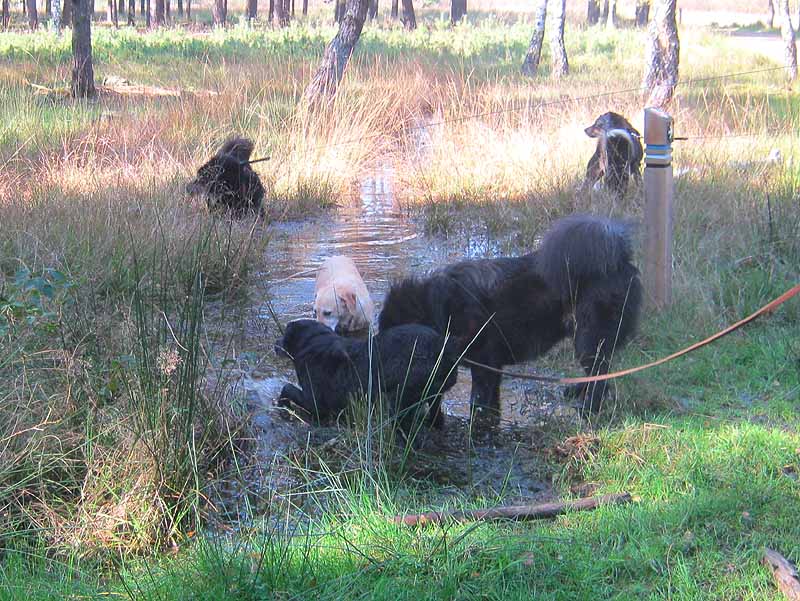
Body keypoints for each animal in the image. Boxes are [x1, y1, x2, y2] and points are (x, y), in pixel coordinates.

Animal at [276, 318, 460, 432]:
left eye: (284, 335)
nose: (275, 343)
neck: (312, 342)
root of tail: (440, 347)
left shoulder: (314, 402)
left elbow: (287, 388)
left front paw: (282, 404)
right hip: (434, 392)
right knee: (436, 412)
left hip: (399, 394)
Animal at [376, 214, 644, 418]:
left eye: (395, 340)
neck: (439, 310)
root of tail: (621, 259)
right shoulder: (491, 367)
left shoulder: (484, 364)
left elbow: (478, 400)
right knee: (600, 374)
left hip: (588, 339)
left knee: (600, 377)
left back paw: (588, 408)